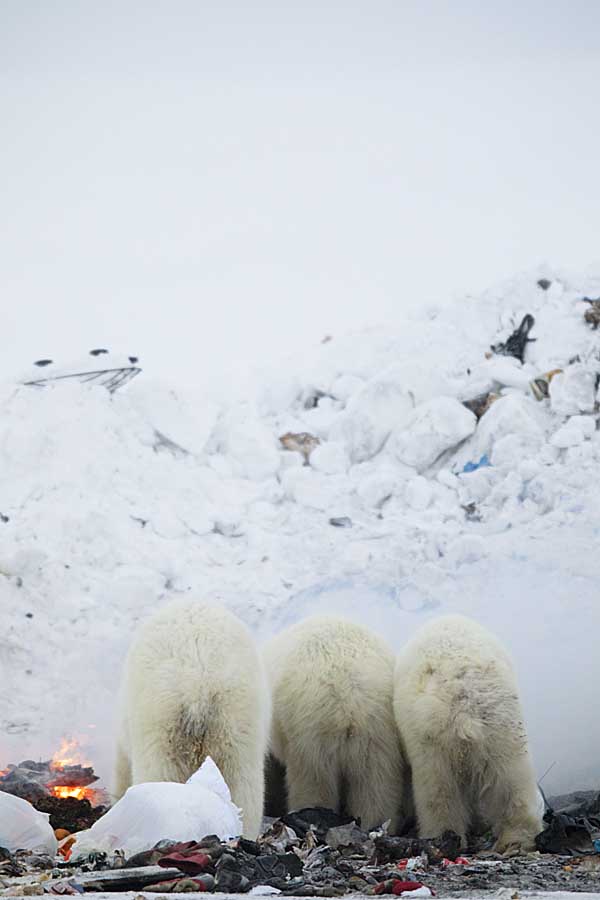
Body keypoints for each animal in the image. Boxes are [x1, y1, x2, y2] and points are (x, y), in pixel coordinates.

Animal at [264, 616, 408, 832]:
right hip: (378, 732)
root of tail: (348, 695)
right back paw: (374, 823)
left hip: (311, 731)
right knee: (376, 784)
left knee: (314, 781)